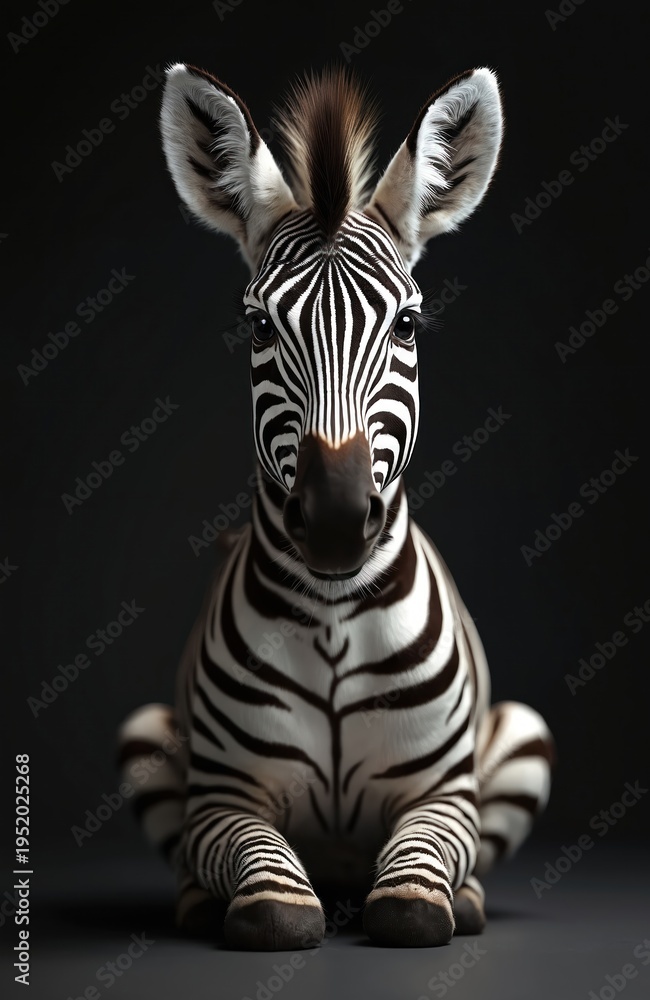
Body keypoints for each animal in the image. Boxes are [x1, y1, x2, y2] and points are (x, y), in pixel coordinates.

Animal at [118, 63, 554, 950]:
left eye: (409, 323)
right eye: (257, 326)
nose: (332, 525)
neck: (331, 617)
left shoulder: (446, 797)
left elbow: (414, 892)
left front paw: (432, 899)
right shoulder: (221, 799)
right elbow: (273, 894)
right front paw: (257, 903)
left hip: (524, 736)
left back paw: (469, 900)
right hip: (144, 738)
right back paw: (195, 901)